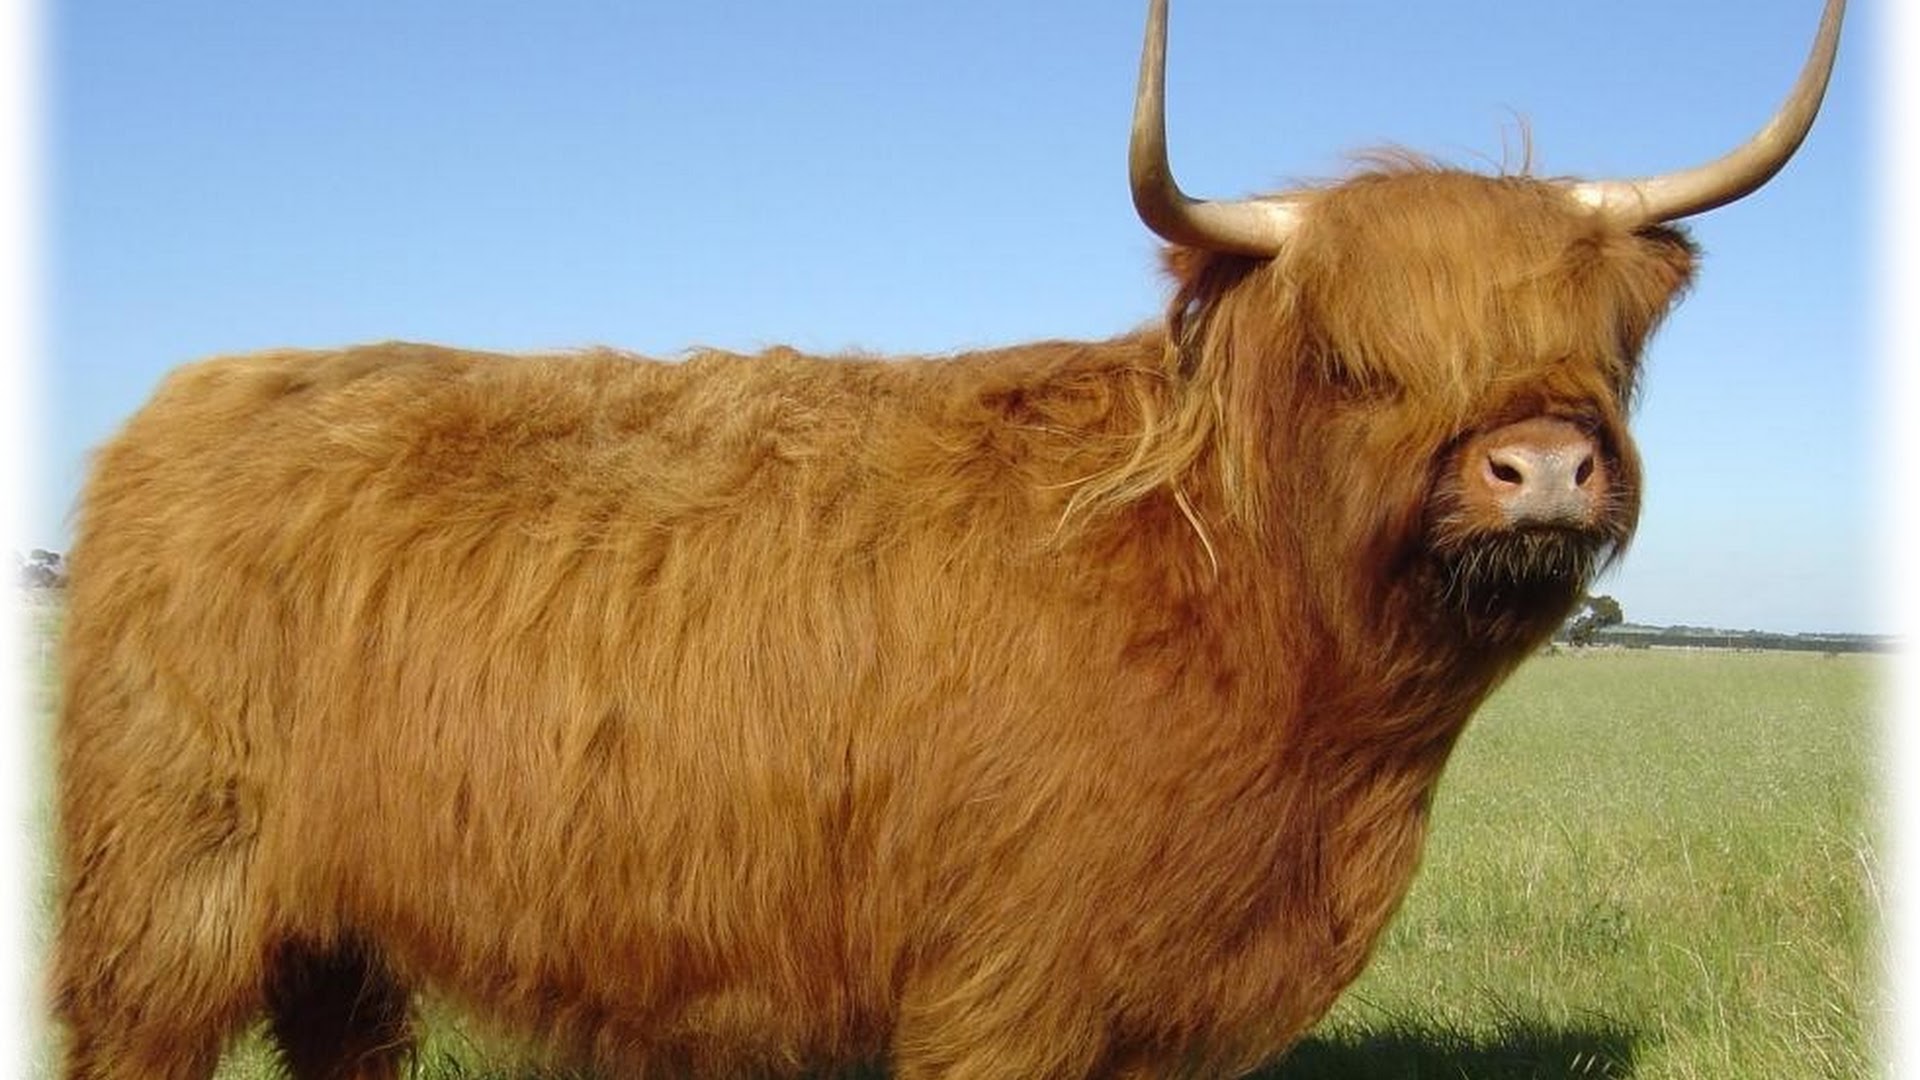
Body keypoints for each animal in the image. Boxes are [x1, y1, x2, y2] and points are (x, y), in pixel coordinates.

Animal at [50, 1, 1845, 1077]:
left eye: (1594, 345)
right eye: (1357, 360)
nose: (1540, 469)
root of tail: (203, 386)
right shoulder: (1014, 990)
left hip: (336, 927)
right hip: (165, 890)